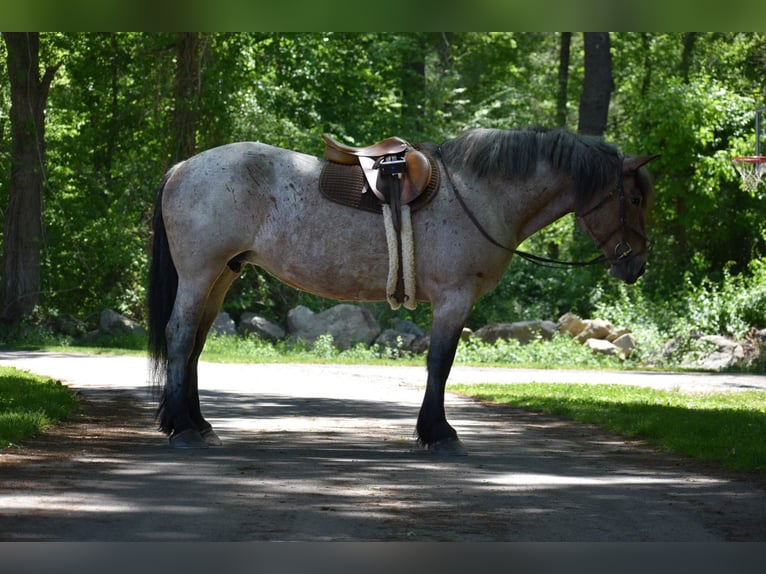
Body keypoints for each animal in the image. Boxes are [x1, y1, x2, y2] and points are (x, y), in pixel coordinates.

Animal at [147, 127, 656, 454]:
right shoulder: (454, 299)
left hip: (222, 275)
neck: (481, 194)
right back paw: (183, 430)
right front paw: (438, 432)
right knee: (179, 336)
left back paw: (198, 424)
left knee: (195, 344)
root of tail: (182, 167)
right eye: (634, 198)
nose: (636, 264)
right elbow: (440, 364)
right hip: (199, 275)